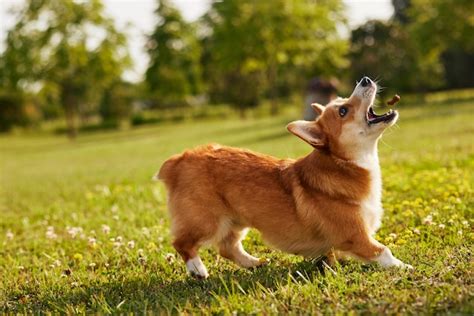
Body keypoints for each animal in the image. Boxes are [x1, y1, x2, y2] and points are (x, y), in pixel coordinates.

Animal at [155, 77, 412, 278]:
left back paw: (254, 263)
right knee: (181, 242)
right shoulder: (356, 236)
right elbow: (384, 251)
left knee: (228, 247)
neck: (345, 164)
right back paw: (198, 269)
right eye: (343, 111)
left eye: (342, 100)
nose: (365, 79)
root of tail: (179, 159)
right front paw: (405, 267)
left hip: (236, 220)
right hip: (207, 221)